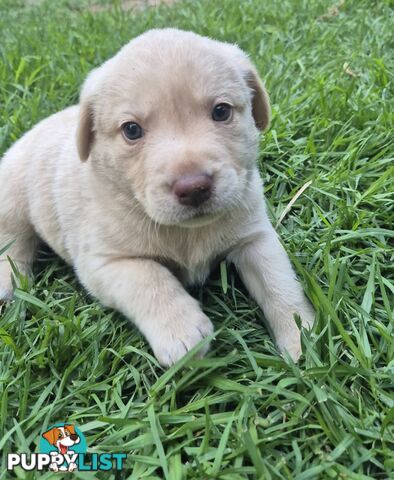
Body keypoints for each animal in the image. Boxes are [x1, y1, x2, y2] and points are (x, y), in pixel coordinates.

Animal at [0, 28, 314, 366]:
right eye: (131, 130)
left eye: (221, 111)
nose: (194, 187)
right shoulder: (104, 261)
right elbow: (149, 277)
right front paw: (182, 331)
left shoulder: (255, 236)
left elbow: (278, 281)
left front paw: (302, 336)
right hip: (12, 196)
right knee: (12, 242)